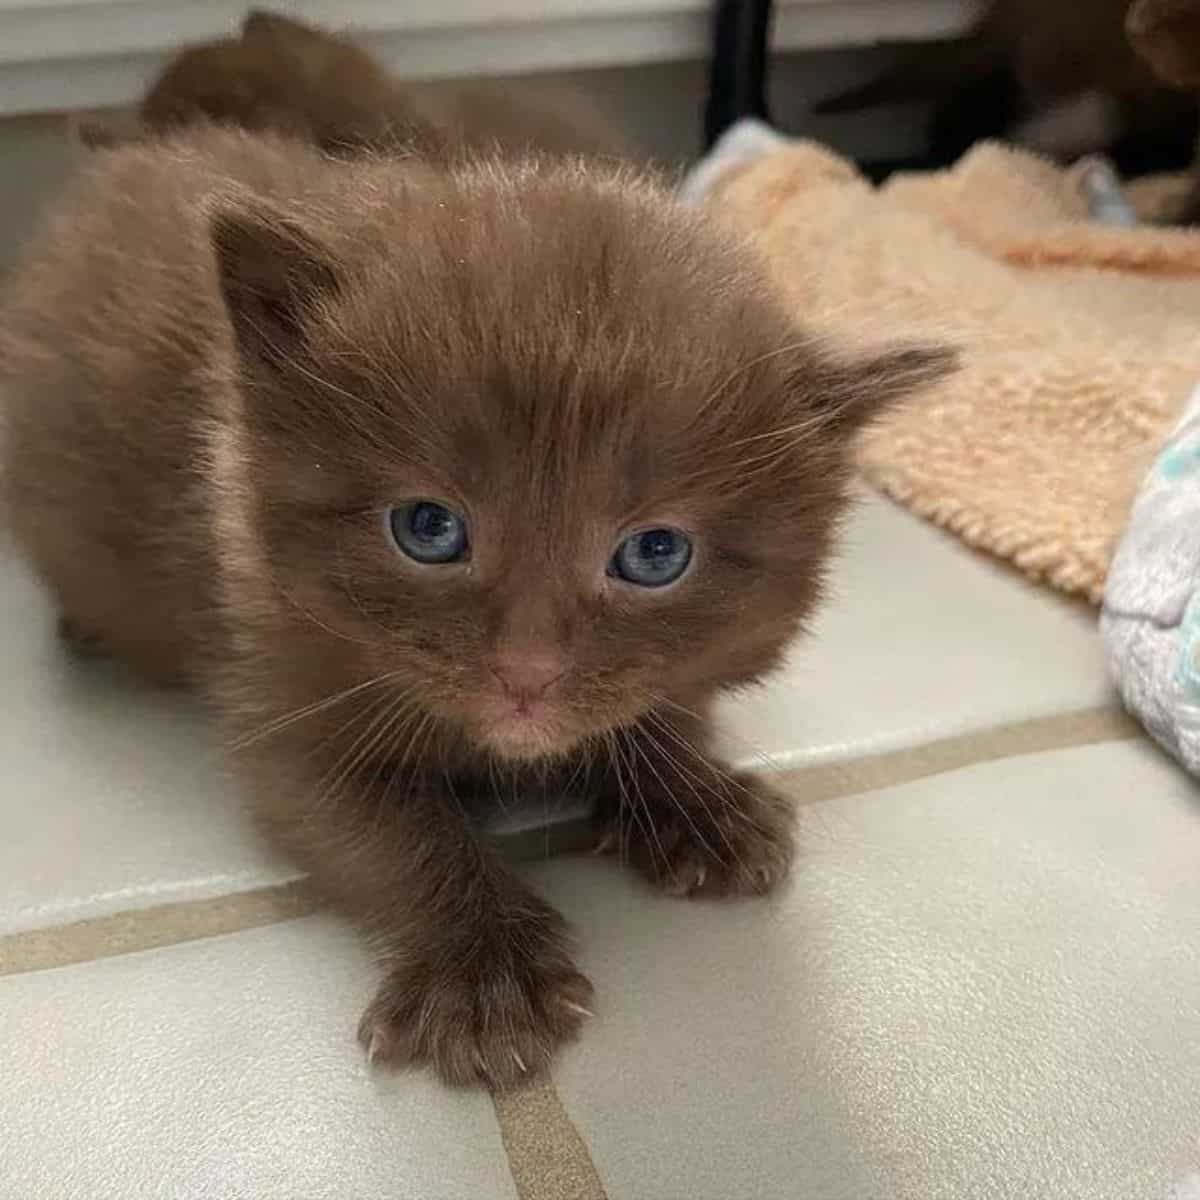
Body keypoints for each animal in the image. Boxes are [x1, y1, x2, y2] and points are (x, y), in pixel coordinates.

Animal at [0, 129, 955, 1089]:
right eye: (428, 529)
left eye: (655, 554)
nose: (525, 674)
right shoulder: (275, 687)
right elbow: (389, 832)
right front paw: (485, 974)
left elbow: (659, 710)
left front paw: (696, 800)